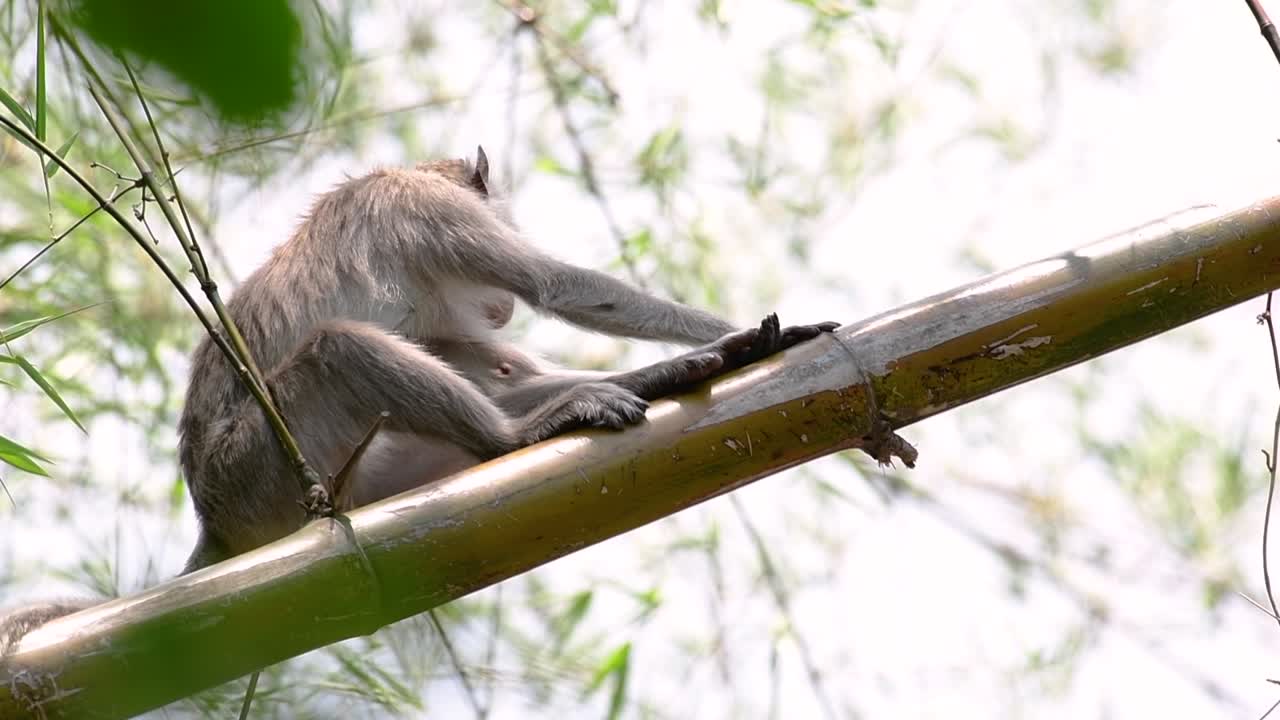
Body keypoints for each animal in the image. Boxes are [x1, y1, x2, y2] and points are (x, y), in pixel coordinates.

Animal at [0, 147, 836, 656]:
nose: (497, 306)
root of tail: (215, 518)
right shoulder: (427, 207)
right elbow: (559, 288)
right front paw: (747, 334)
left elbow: (496, 356)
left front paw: (716, 353)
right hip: (269, 470)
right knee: (343, 347)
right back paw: (520, 438)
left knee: (463, 363)